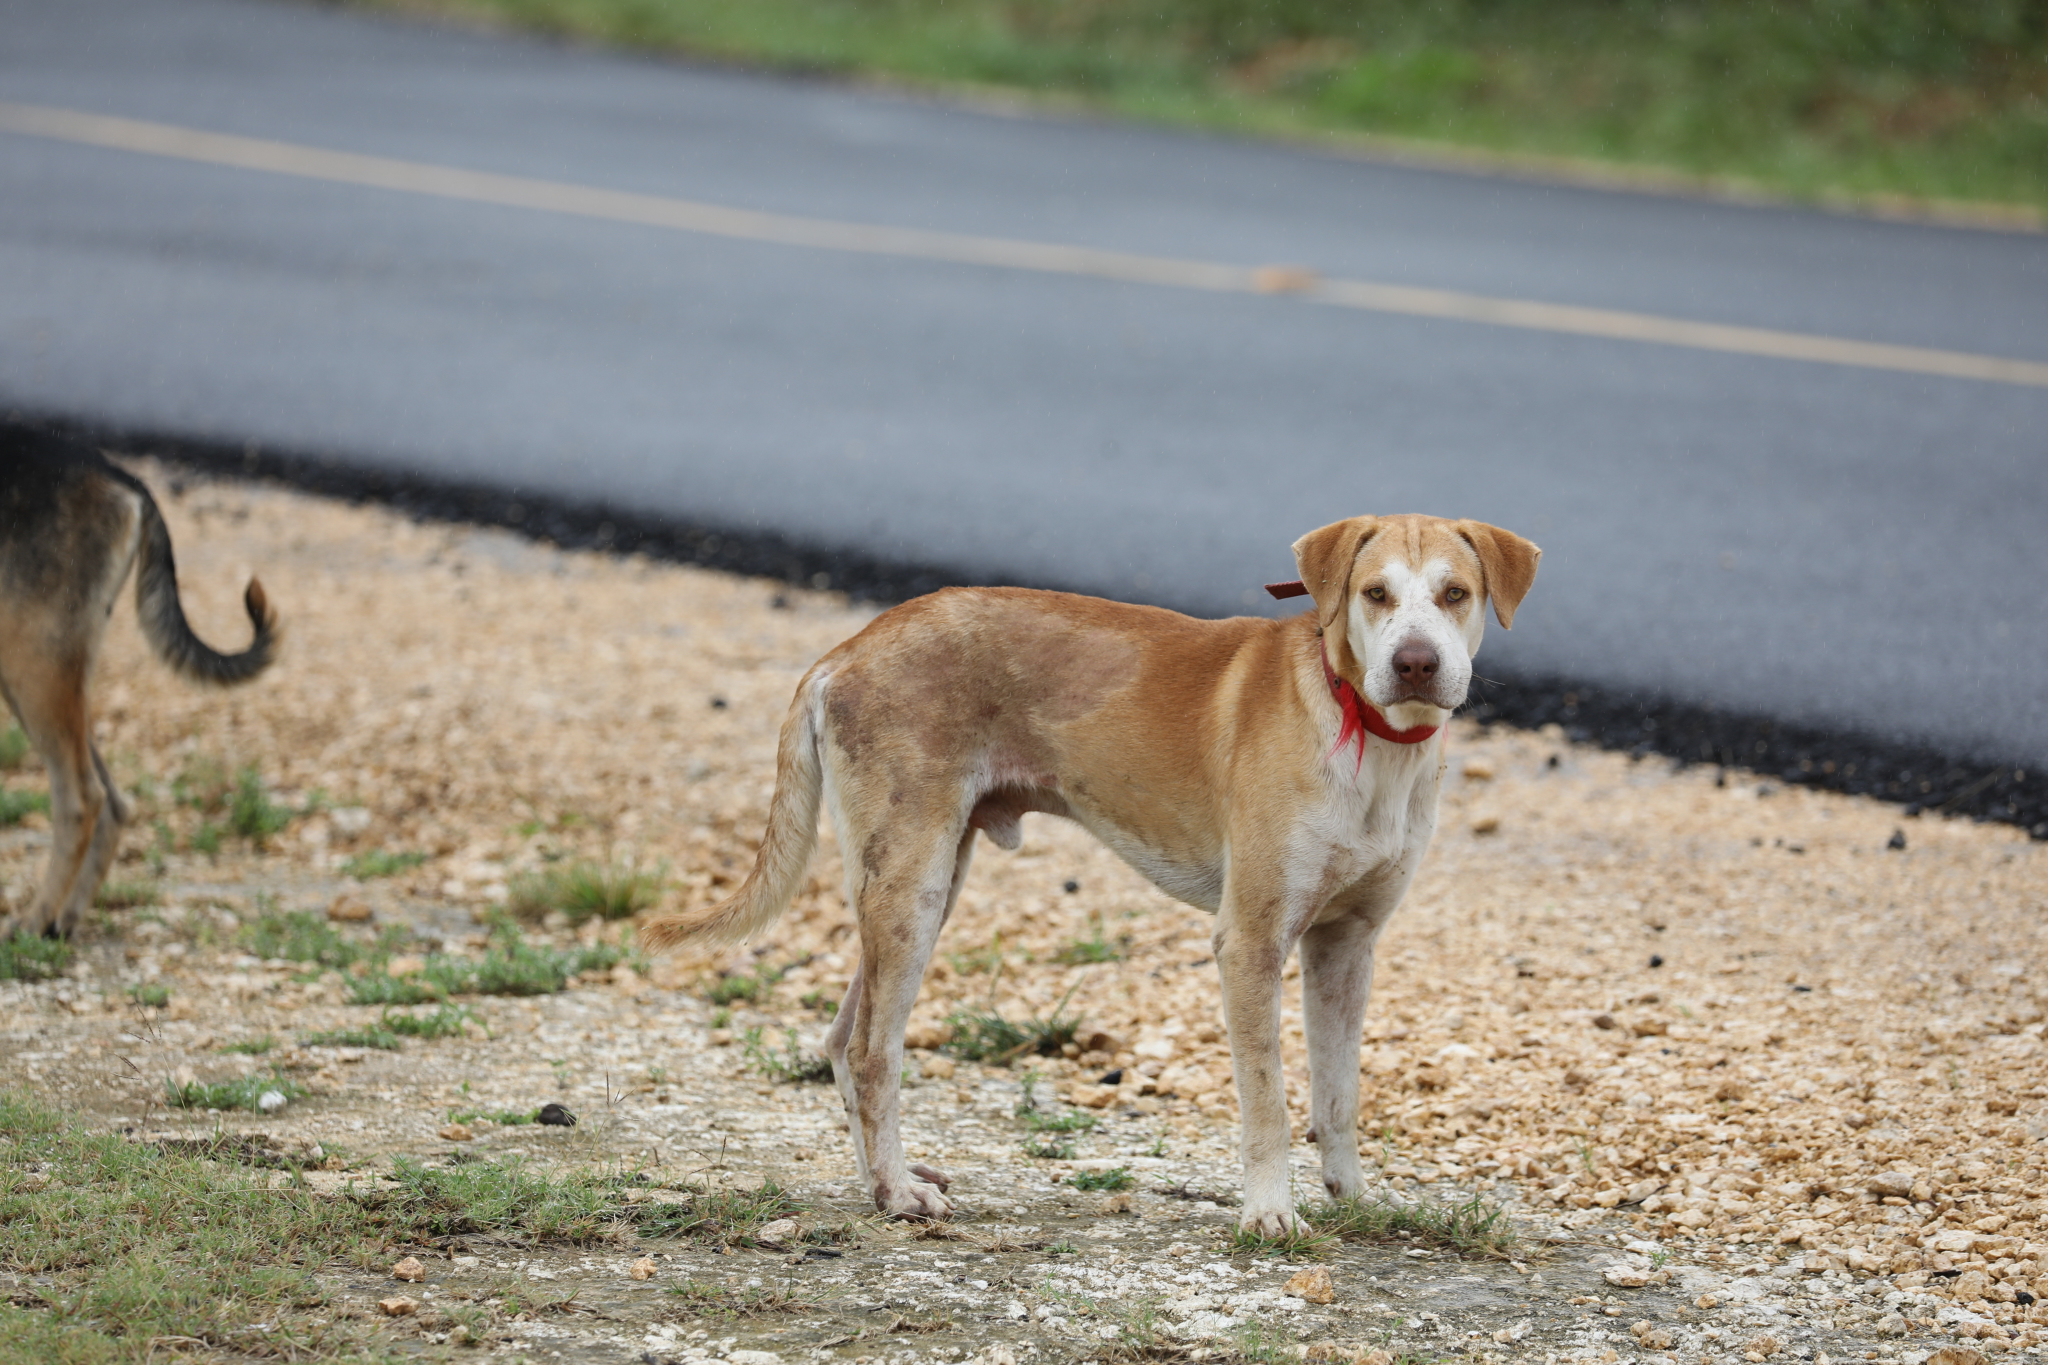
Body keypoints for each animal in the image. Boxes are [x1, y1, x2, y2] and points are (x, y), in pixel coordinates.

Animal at [0, 427, 276, 941]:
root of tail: (118, 477)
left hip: (34, 664)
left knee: (83, 798)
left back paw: (35, 919)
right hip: (40, 673)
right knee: (114, 801)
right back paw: (65, 919)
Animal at [638, 515, 1540, 1236]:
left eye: (1455, 593)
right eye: (1375, 593)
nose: (1417, 663)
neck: (1367, 732)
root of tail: (845, 649)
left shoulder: (1346, 944)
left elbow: (1339, 1095)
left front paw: (1354, 1197)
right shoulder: (1249, 940)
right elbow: (1270, 1100)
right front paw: (1268, 1212)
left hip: (924, 880)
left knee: (841, 1038)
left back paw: (878, 1181)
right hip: (911, 880)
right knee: (869, 1049)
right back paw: (895, 1192)